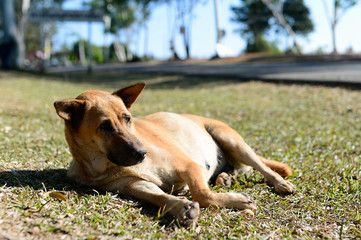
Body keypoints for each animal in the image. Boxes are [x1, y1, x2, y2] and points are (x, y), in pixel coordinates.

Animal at [54, 82, 296, 225]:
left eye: (127, 118)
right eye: (104, 126)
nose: (142, 153)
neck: (105, 165)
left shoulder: (189, 166)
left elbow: (202, 194)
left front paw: (236, 200)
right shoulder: (132, 184)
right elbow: (158, 195)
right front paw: (181, 206)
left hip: (231, 139)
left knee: (261, 166)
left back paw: (280, 183)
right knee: (236, 168)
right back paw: (225, 178)